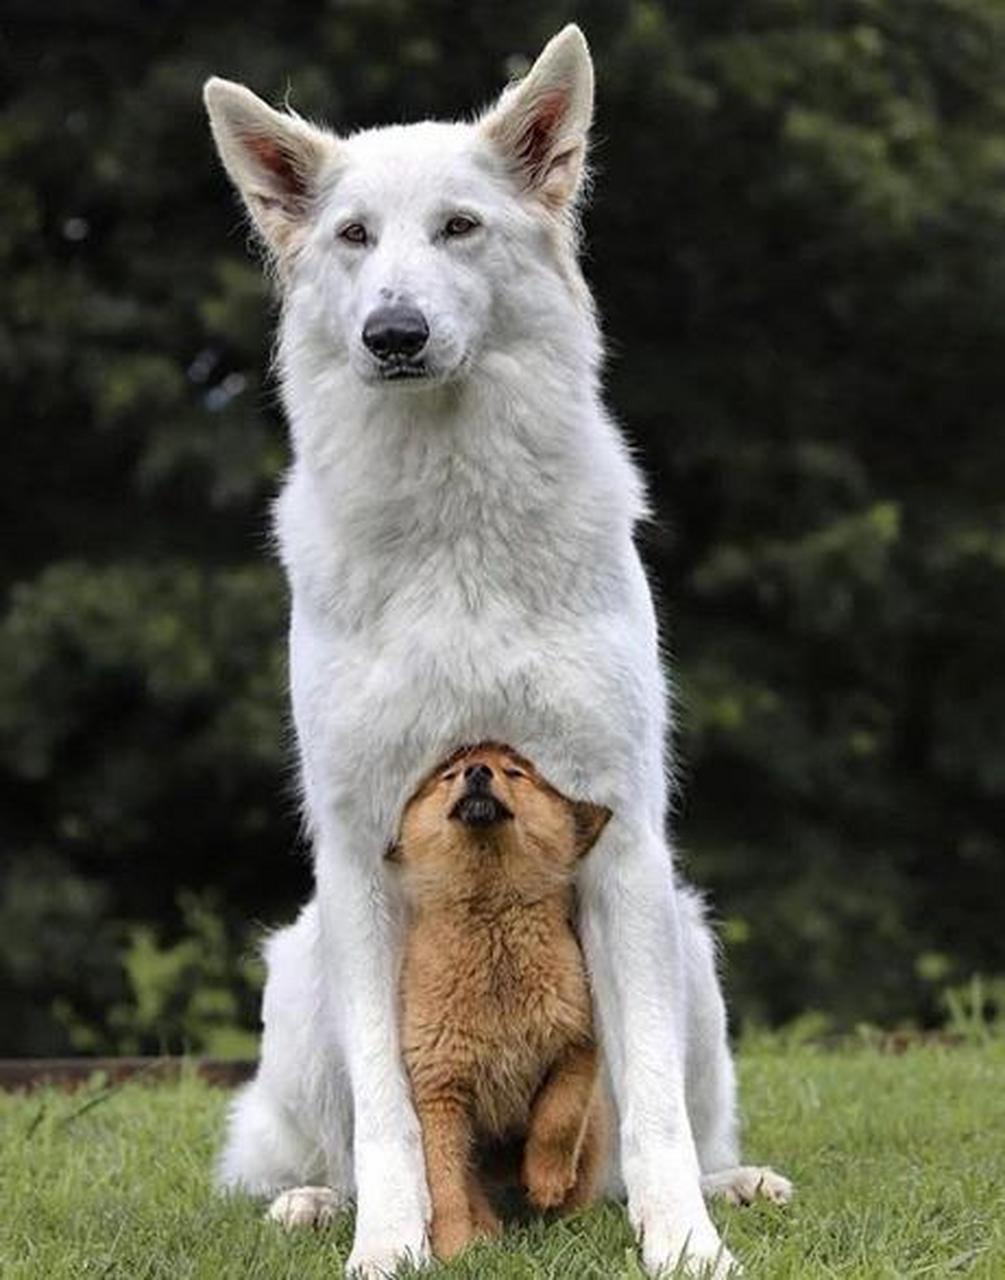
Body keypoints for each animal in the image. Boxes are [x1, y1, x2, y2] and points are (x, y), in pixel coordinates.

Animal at [391, 747, 611, 1254]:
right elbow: (446, 1185)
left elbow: (559, 1117)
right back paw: (489, 1235)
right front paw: (455, 1250)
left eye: (516, 773)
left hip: (595, 1135)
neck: (490, 917)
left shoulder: (578, 1043)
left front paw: (547, 1181)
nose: (477, 771)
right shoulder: (440, 1090)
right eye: (448, 775)